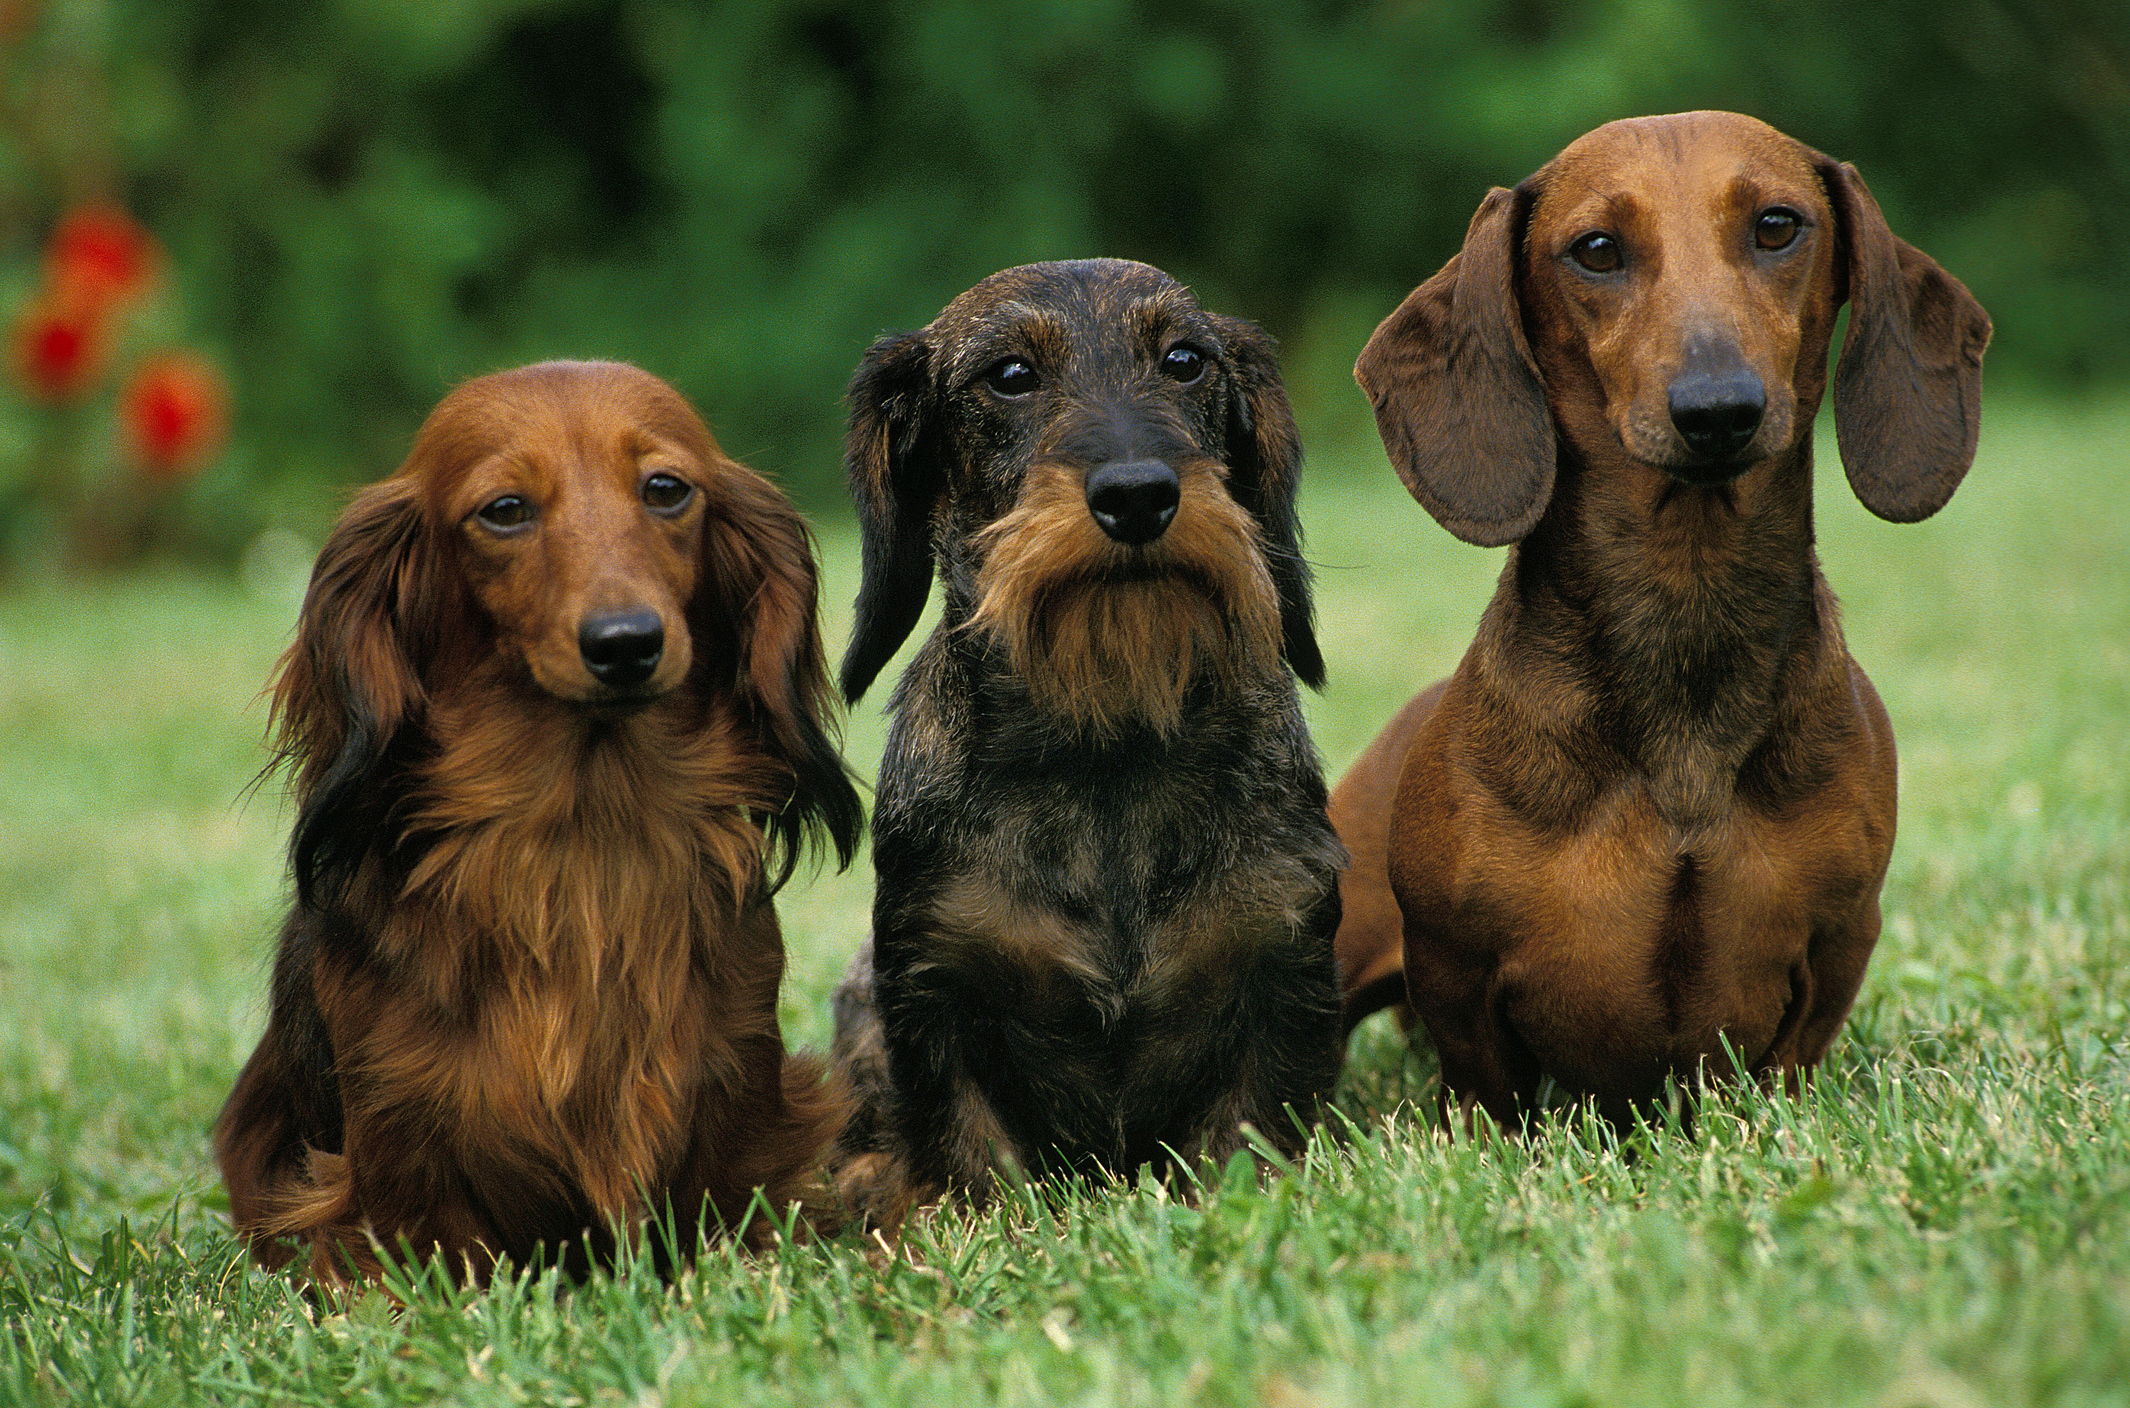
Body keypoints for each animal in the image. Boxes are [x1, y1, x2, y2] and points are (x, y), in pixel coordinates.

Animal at [822, 260, 1337, 1218]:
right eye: (1011, 375)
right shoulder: (929, 985)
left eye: (1185, 360)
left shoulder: (1284, 960)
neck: (1109, 741)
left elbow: (1246, 1141)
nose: (1138, 494)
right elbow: (975, 1166)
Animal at [1337, 109, 1985, 1124]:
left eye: (1777, 225)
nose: (1718, 410)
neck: (1686, 608)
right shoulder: (1454, 967)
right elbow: (1487, 1095)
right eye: (1596, 250)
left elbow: (1789, 1059)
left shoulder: (1839, 943)